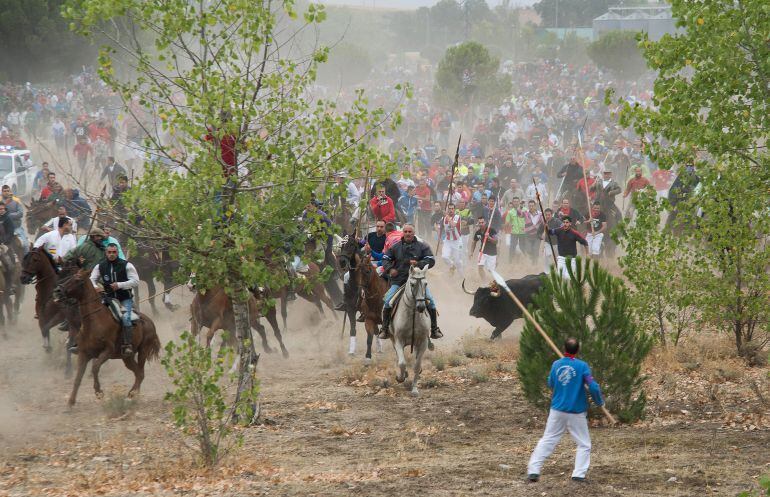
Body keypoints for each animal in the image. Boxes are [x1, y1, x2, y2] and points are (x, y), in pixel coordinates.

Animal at [59, 270, 162, 404]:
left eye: (78, 280)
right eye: (70, 277)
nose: (58, 290)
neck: (94, 322)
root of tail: (150, 322)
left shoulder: (107, 351)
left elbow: (95, 367)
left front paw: (99, 392)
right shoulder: (83, 353)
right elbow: (78, 378)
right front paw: (71, 402)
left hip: (143, 351)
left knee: (141, 373)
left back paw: (132, 394)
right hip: (127, 358)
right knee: (138, 373)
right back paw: (131, 394)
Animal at [388, 266, 428, 398]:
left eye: (426, 284)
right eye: (412, 284)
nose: (421, 307)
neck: (413, 315)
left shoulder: (423, 342)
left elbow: (417, 365)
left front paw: (414, 389)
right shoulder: (398, 340)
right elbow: (402, 362)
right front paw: (400, 377)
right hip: (392, 339)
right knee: (399, 357)